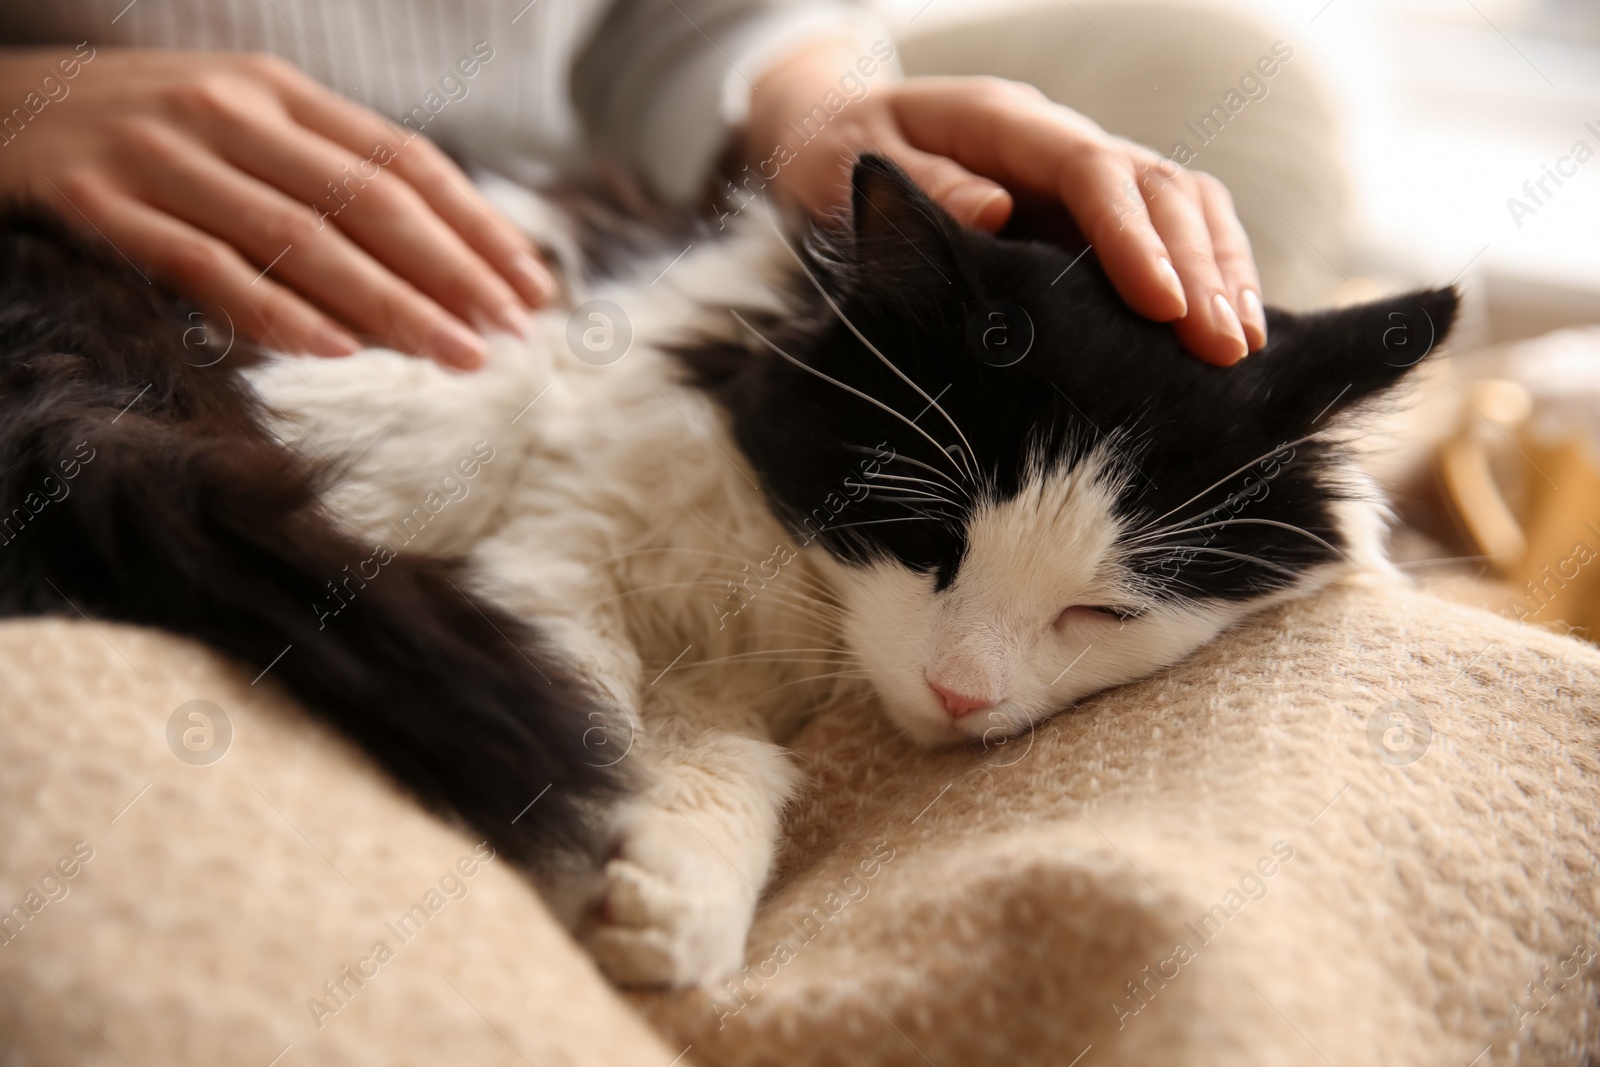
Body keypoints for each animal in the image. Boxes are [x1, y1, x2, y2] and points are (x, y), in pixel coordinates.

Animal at [0, 154, 1459, 991]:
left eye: (1100, 608)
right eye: (926, 540)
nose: (962, 694)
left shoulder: (739, 683)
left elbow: (719, 767)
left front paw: (672, 906)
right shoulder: (565, 541)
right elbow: (583, 706)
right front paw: (578, 866)